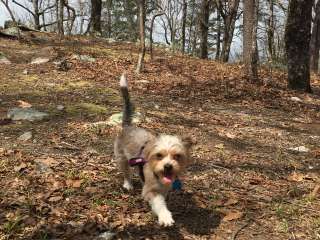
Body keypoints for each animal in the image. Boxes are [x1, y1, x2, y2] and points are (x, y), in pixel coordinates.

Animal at [114, 74, 192, 226]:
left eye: (177, 156)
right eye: (159, 155)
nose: (168, 166)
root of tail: (128, 126)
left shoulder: (164, 189)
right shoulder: (151, 191)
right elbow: (159, 203)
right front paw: (165, 216)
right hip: (122, 158)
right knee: (126, 173)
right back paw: (128, 184)